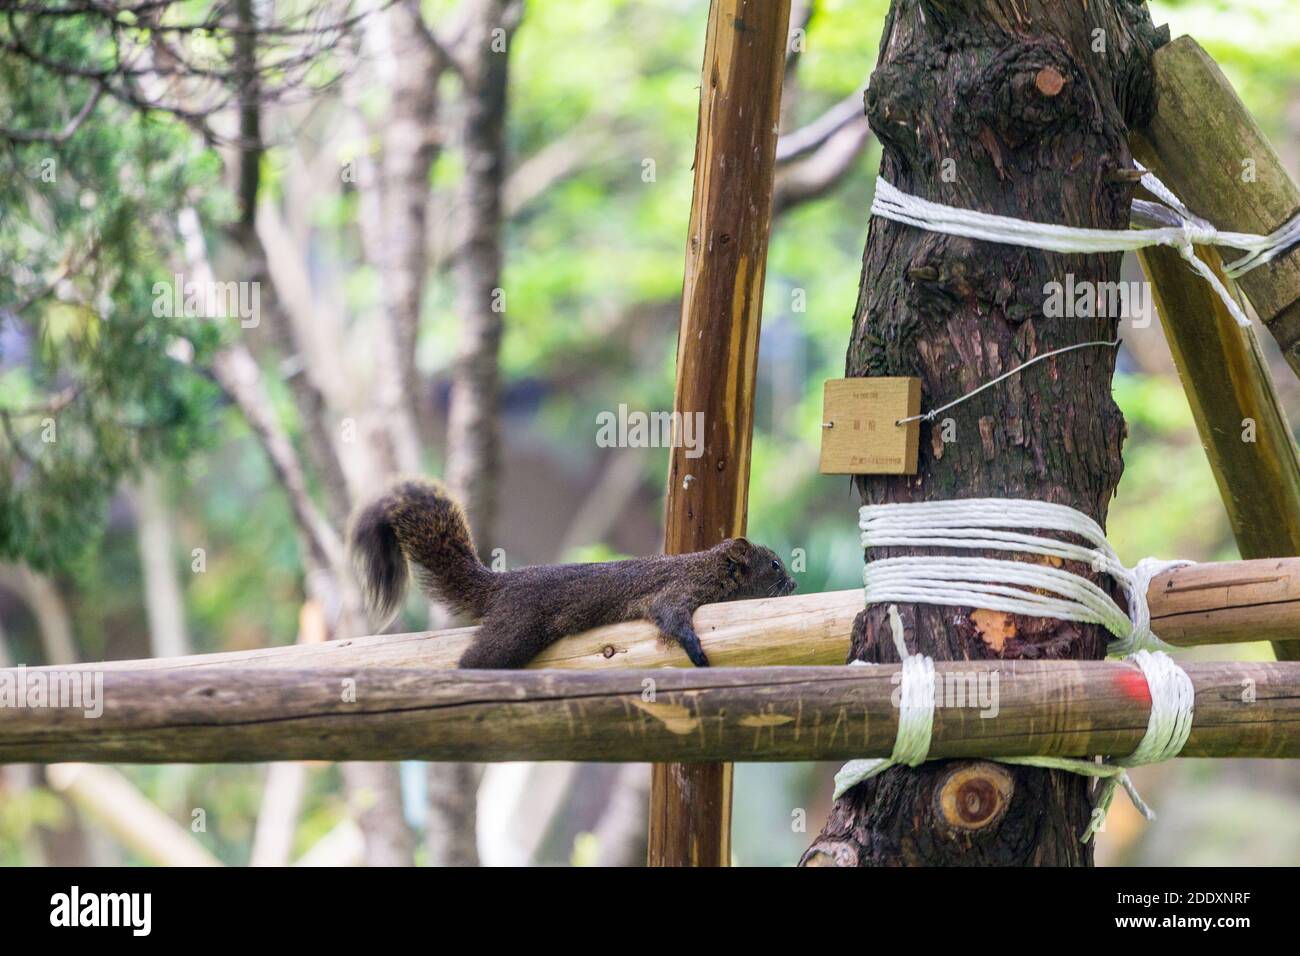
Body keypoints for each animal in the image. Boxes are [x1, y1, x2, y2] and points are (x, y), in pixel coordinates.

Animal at [345, 476, 795, 671]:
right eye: (774, 564)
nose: (793, 583)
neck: (707, 565)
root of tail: (501, 585)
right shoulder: (678, 590)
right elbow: (671, 617)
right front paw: (696, 651)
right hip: (515, 631)